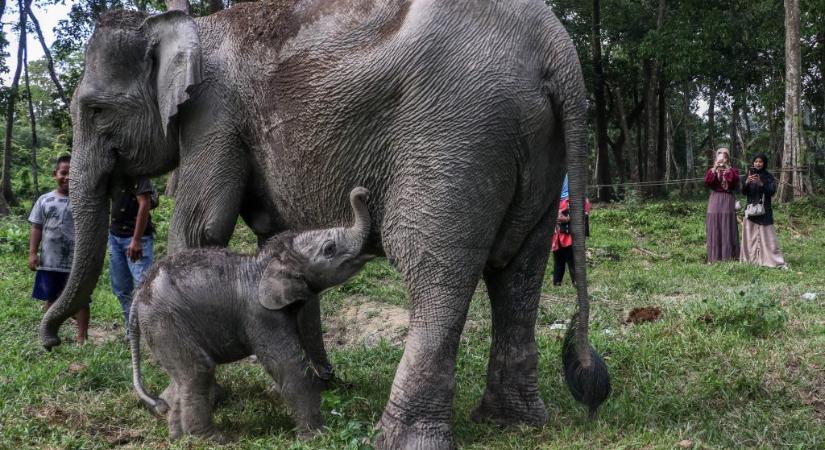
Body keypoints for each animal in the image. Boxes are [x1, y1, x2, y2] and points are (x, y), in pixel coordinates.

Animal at [130, 185, 374, 440]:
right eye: (329, 249)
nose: (362, 192)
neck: (267, 260)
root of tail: (138, 293)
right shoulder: (260, 315)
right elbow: (290, 366)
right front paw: (317, 437)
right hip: (165, 322)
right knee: (198, 371)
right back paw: (211, 439)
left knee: (181, 377)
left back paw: (178, 436)